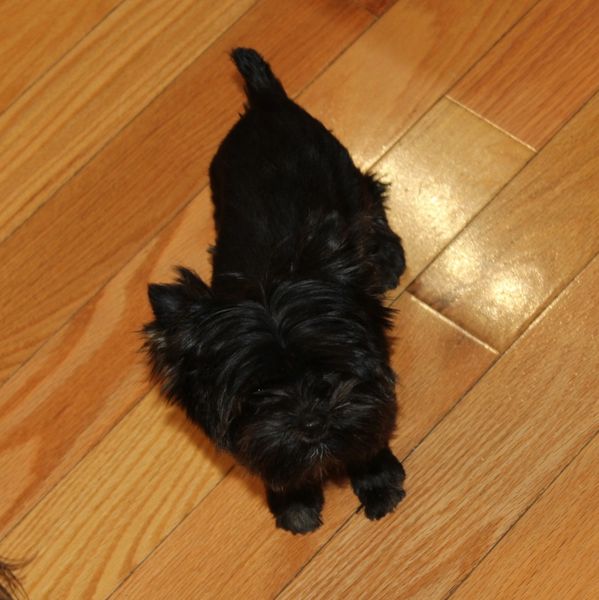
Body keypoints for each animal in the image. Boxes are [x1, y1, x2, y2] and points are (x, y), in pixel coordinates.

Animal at [144, 48, 407, 534]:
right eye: (260, 392)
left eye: (329, 367)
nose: (312, 420)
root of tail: (265, 102)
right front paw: (295, 503)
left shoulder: (369, 392)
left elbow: (369, 432)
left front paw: (377, 481)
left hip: (343, 172)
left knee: (370, 196)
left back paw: (388, 257)